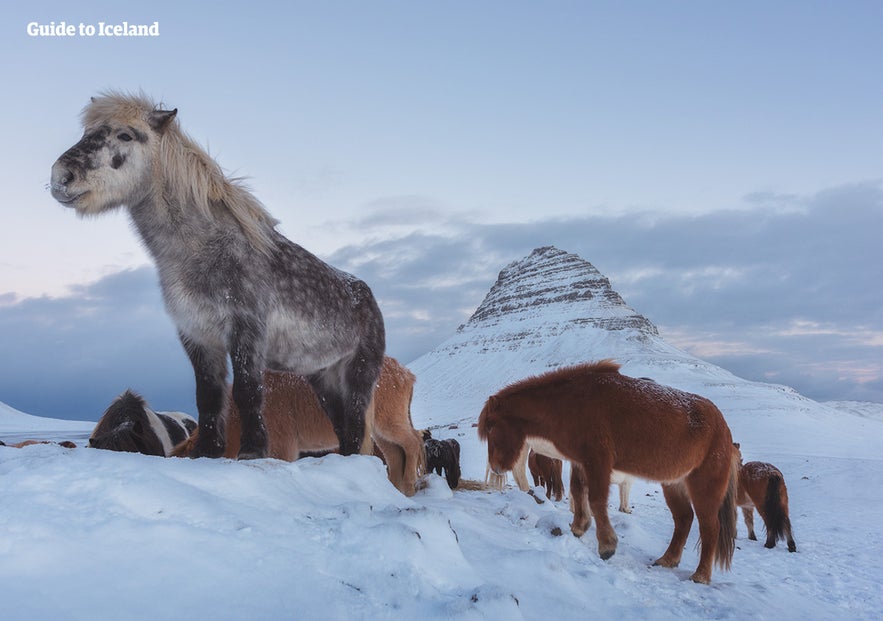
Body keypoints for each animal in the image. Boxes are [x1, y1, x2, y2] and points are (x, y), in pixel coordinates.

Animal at [476, 360, 740, 584]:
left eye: (491, 426)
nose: (496, 467)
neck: (571, 405)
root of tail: (724, 428)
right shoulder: (581, 462)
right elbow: (578, 492)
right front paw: (579, 527)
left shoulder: (598, 461)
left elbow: (595, 499)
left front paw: (606, 546)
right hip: (674, 483)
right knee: (684, 519)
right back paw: (667, 560)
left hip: (703, 486)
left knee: (709, 527)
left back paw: (701, 575)